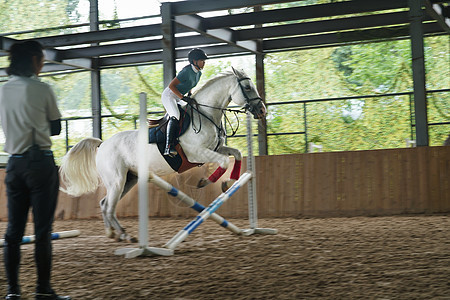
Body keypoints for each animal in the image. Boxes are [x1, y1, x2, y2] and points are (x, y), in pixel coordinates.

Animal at [58, 67, 266, 241]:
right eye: (247, 87)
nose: (262, 111)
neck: (206, 115)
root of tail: (102, 145)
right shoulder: (196, 154)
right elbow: (223, 162)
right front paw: (207, 181)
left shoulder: (214, 149)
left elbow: (236, 154)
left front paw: (229, 182)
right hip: (117, 180)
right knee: (109, 206)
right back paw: (124, 235)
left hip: (129, 179)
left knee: (104, 204)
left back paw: (114, 233)